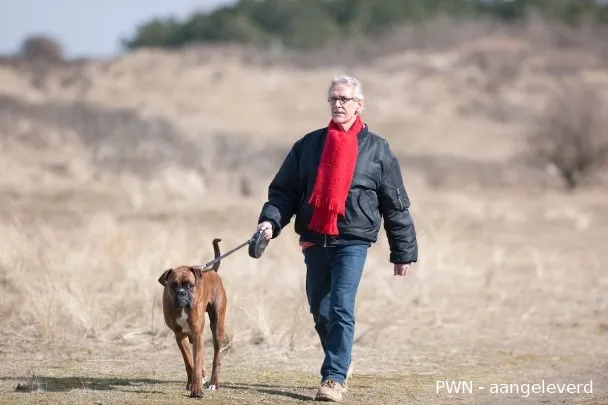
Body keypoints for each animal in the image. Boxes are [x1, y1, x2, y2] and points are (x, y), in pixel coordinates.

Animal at [159, 237, 228, 398]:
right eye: (173, 285)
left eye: (190, 285)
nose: (182, 293)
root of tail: (212, 271)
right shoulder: (180, 336)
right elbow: (189, 362)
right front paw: (192, 384)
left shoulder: (197, 333)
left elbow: (196, 362)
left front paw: (196, 390)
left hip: (217, 327)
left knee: (217, 356)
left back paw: (214, 383)